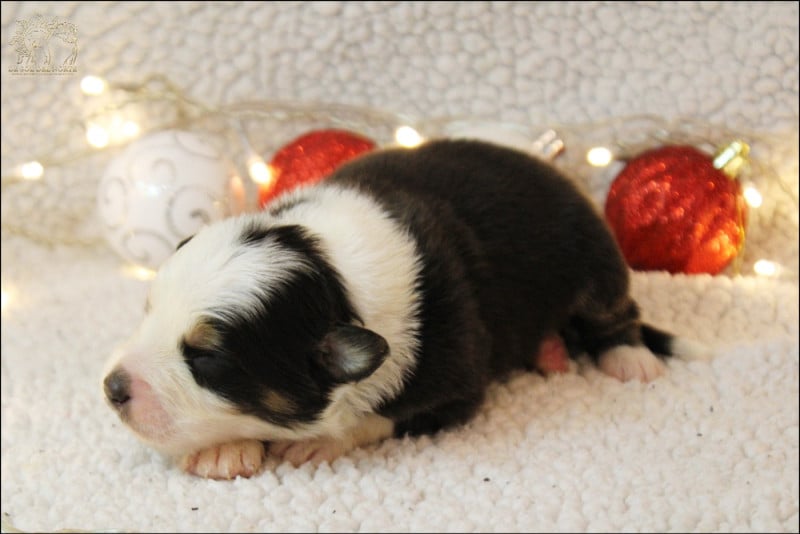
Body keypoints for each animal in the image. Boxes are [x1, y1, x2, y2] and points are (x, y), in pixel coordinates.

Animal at [102, 138, 704, 479]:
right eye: (148, 310)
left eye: (206, 360)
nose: (112, 388)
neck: (335, 275)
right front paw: (224, 449)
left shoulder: (458, 376)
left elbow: (383, 414)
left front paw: (317, 443)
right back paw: (552, 351)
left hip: (594, 257)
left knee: (616, 312)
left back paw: (628, 358)